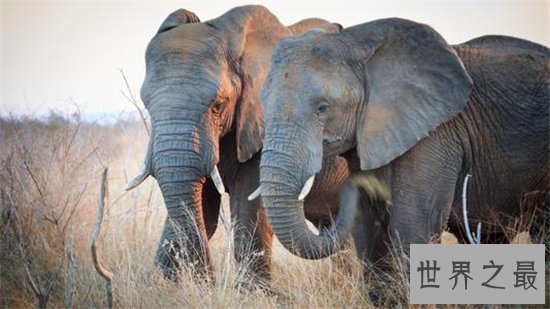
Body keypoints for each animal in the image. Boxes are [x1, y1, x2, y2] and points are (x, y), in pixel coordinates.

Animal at [126, 5, 350, 284]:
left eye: (218, 105)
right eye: (147, 106)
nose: (208, 281)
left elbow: (248, 206)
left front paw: (254, 292)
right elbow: (204, 207)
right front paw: (163, 284)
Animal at [258, 16, 550, 268]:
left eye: (322, 108)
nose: (348, 187)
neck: (354, 42)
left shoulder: (437, 135)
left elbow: (415, 228)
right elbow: (369, 232)